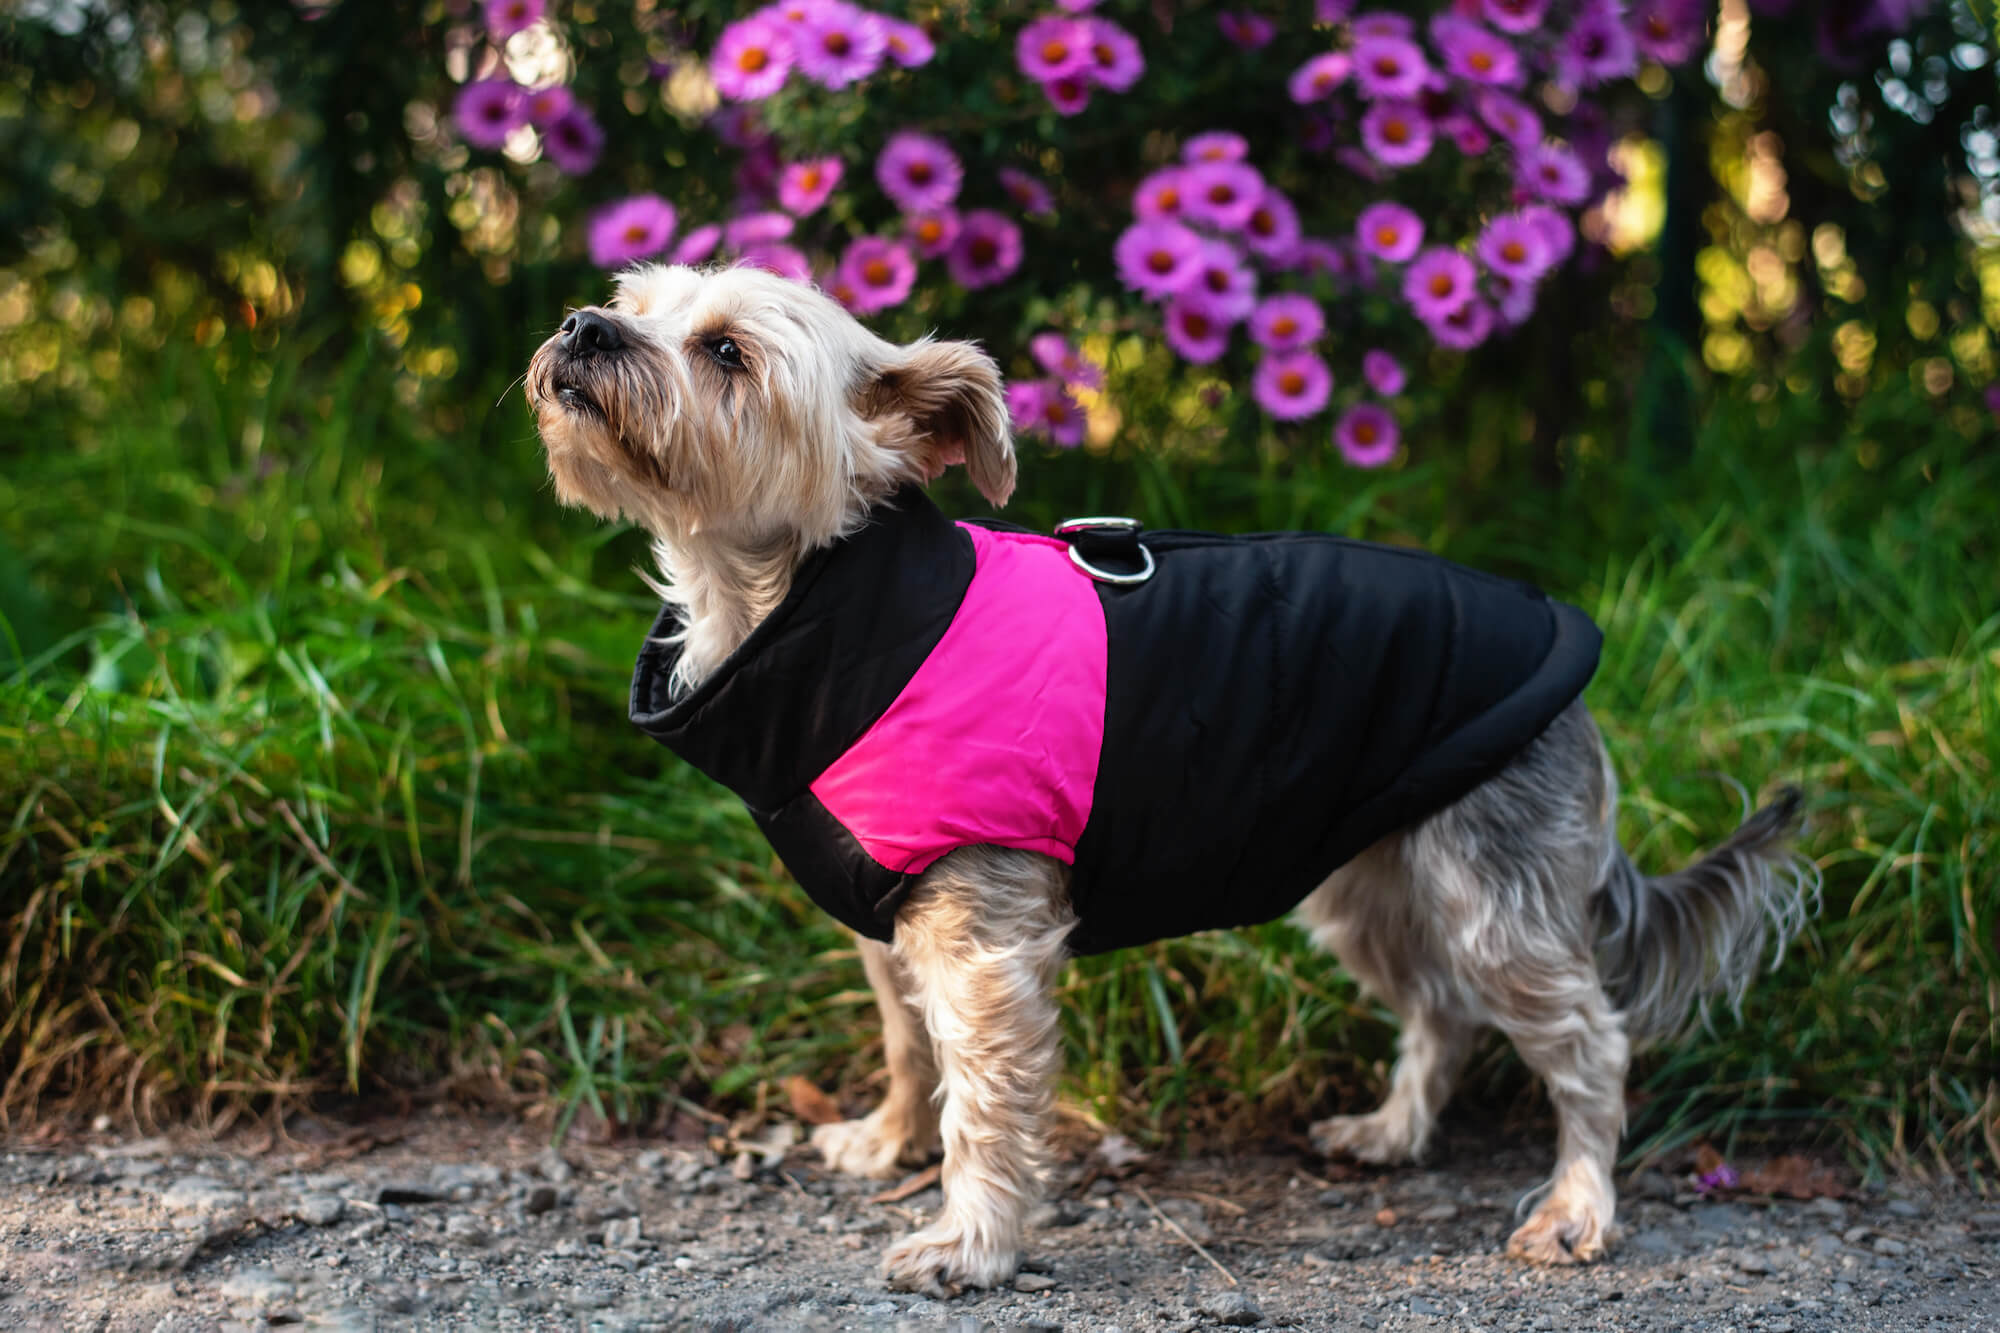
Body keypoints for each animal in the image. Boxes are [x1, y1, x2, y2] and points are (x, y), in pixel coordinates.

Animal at [528, 264, 1816, 1288]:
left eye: (724, 352)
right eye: (635, 302)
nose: (584, 324)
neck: (817, 608)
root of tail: (1576, 685)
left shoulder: (983, 946)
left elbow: (981, 1101)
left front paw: (968, 1241)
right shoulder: (884, 916)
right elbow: (904, 1045)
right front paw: (888, 1139)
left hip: (1489, 895)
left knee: (1589, 1043)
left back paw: (1577, 1206)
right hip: (1363, 884)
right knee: (1438, 1011)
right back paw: (1392, 1130)